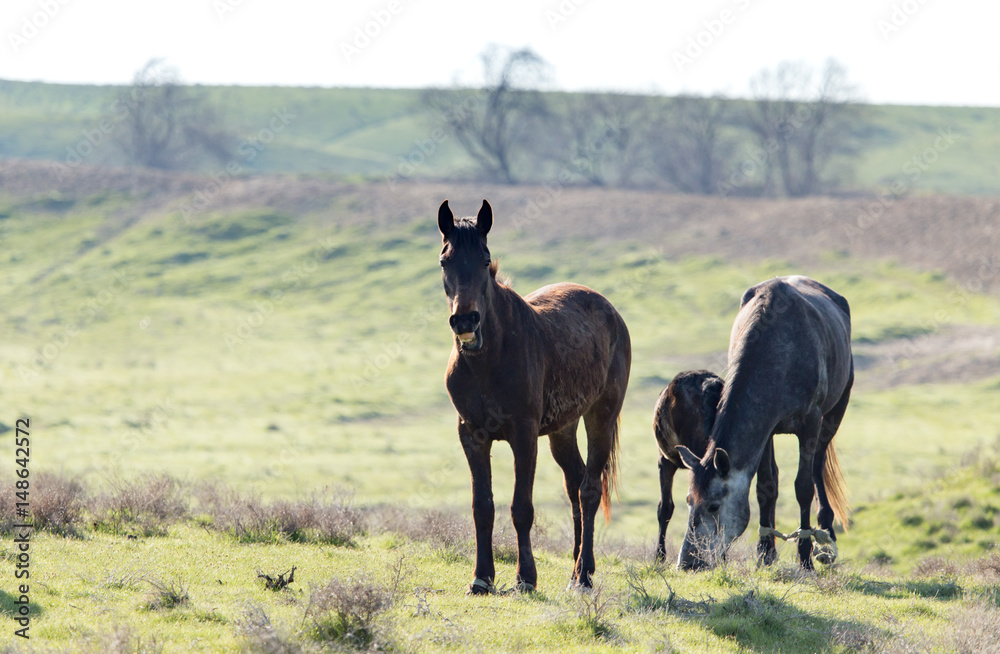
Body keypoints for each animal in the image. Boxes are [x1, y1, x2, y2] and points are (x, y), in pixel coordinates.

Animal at [440, 200, 628, 596]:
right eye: (445, 260)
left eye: (484, 259)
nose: (466, 321)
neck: (490, 358)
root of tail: (611, 312)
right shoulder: (471, 435)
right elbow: (483, 506)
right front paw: (481, 578)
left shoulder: (524, 435)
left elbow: (521, 508)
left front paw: (525, 577)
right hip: (562, 430)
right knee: (575, 486)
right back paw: (577, 568)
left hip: (601, 416)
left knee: (589, 490)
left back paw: (582, 576)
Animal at [672, 278, 852, 576]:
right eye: (688, 501)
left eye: (714, 506)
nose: (688, 561)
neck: (779, 352)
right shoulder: (766, 429)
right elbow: (766, 486)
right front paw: (766, 554)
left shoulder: (811, 421)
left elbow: (803, 486)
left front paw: (804, 557)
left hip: (836, 411)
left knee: (818, 465)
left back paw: (825, 533)